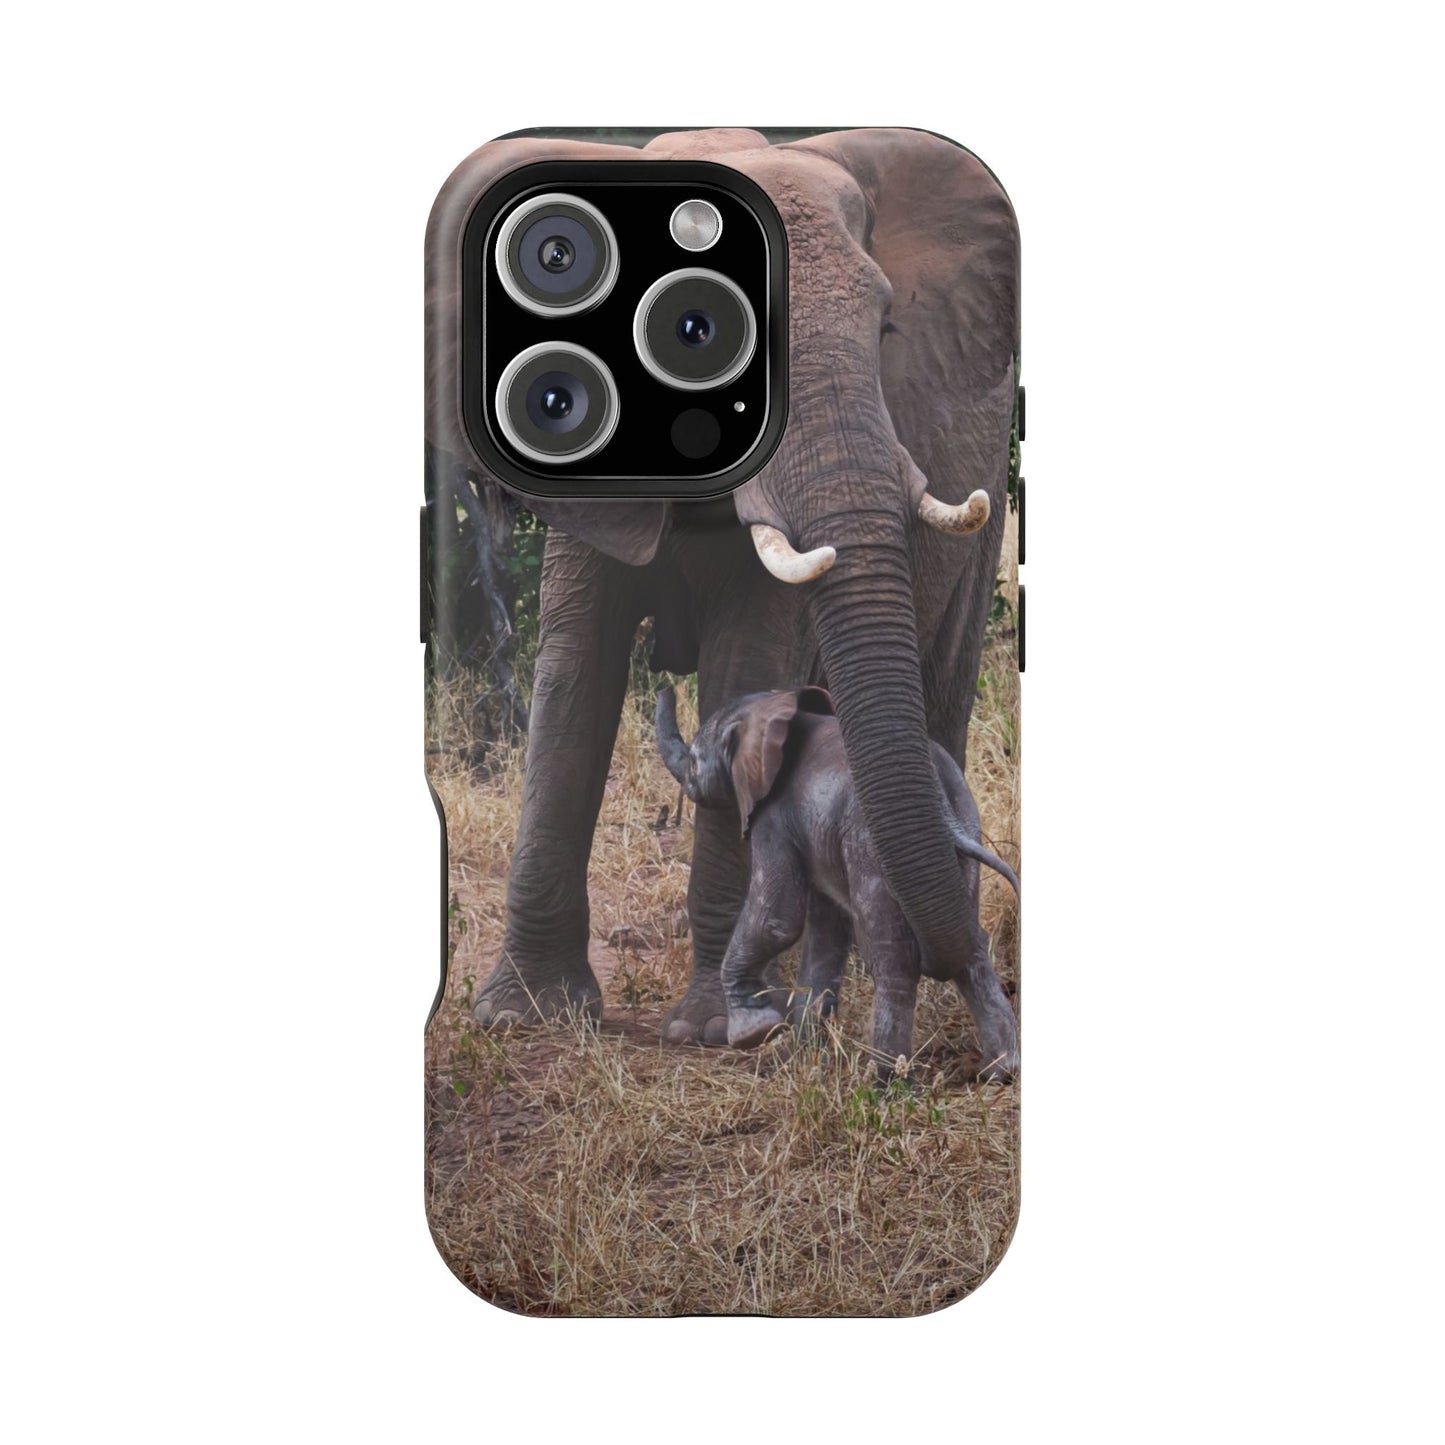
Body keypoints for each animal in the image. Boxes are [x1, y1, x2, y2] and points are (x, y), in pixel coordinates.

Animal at [655, 686, 1020, 1077]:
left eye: (694, 761)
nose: (665, 688)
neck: (774, 709)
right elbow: (824, 933)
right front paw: (802, 1060)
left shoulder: (773, 816)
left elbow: (776, 921)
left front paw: (754, 1032)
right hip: (967, 826)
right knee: (972, 945)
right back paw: (1000, 1071)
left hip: (868, 844)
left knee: (894, 955)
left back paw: (886, 1078)